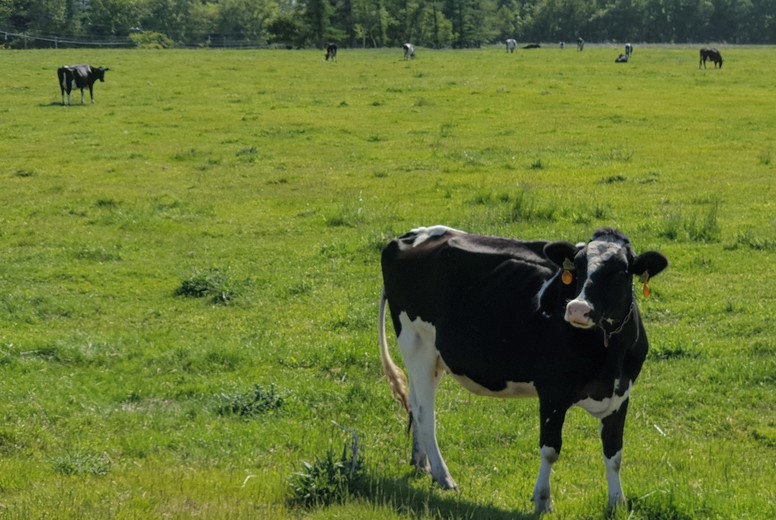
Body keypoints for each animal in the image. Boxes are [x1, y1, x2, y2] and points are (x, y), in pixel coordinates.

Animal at [379, 226, 668, 513]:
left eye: (621, 272)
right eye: (578, 266)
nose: (577, 309)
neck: (609, 353)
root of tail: (410, 235)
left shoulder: (621, 393)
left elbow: (614, 452)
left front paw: (617, 502)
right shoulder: (553, 391)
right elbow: (550, 450)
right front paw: (542, 500)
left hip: (434, 357)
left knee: (414, 402)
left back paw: (421, 463)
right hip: (417, 343)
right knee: (424, 412)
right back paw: (444, 477)